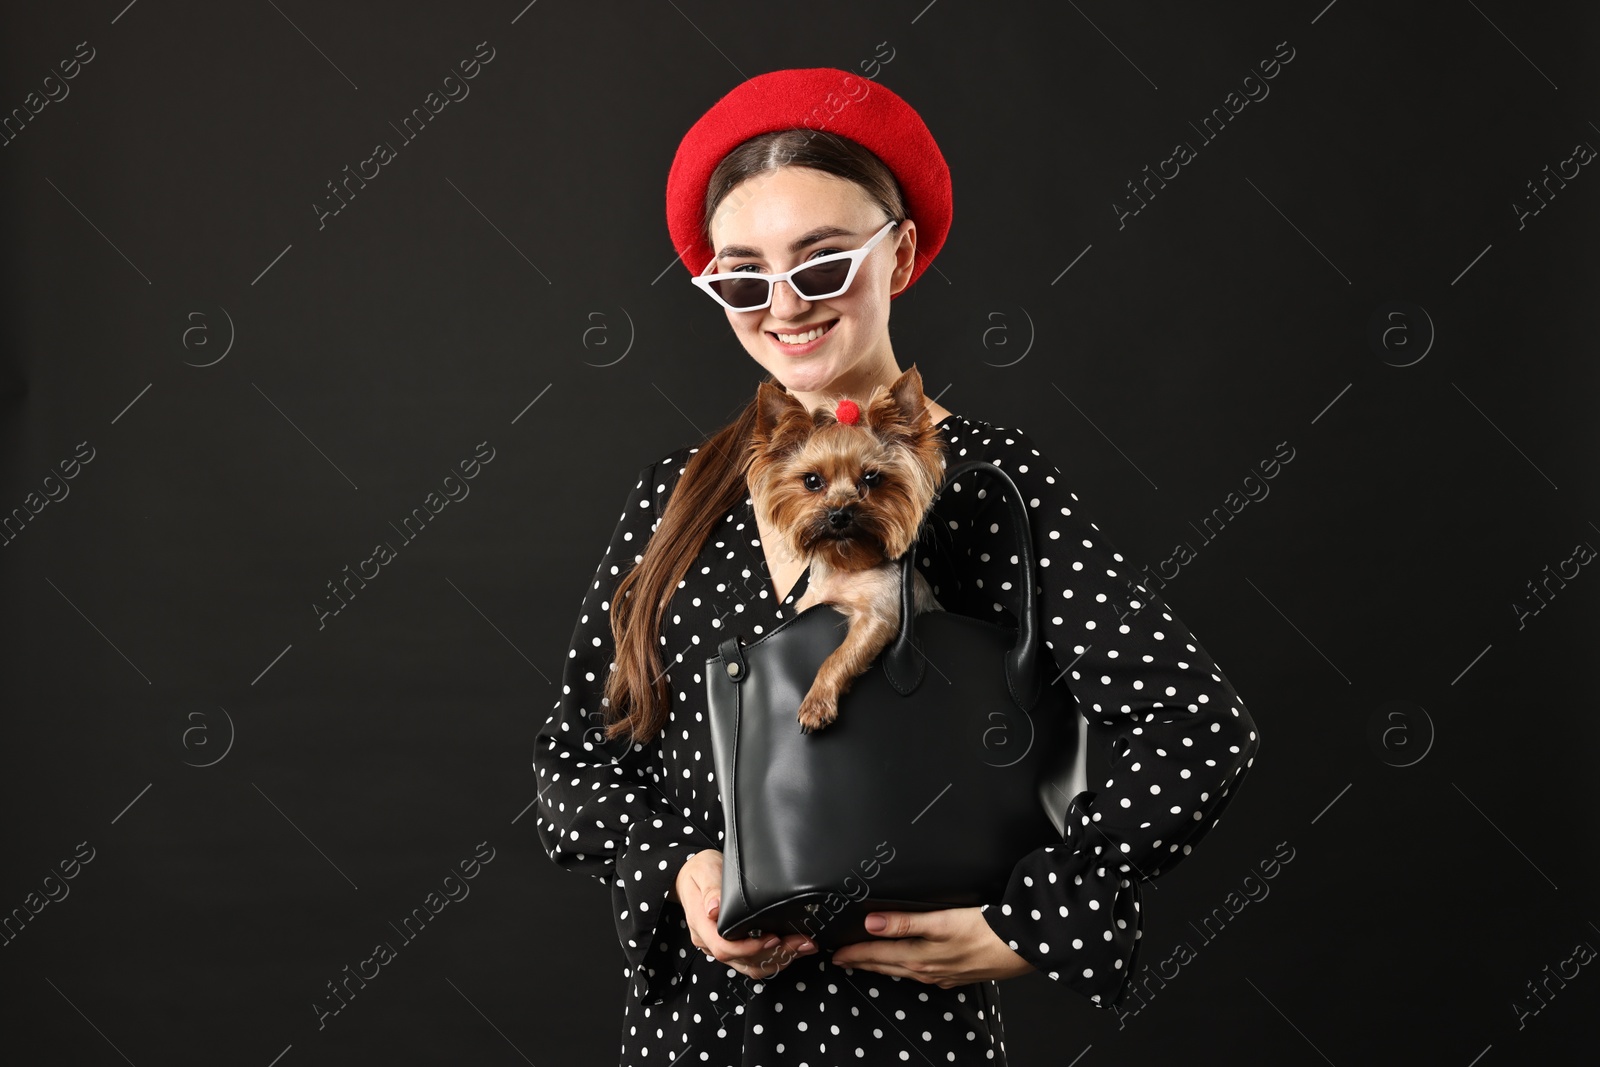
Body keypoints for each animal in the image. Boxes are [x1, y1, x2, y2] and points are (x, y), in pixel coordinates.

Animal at [748, 367, 947, 735]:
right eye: (812, 481)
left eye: (872, 478)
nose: (840, 513)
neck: (848, 566)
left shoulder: (880, 616)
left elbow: (837, 657)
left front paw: (816, 703)